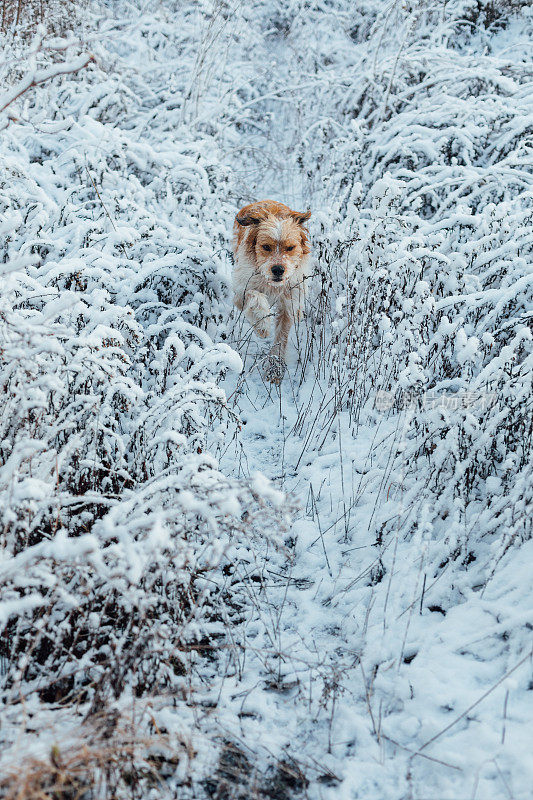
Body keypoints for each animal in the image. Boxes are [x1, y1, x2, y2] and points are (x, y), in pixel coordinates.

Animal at [231, 198, 310, 382]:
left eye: (290, 247)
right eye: (266, 247)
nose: (278, 269)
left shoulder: (289, 303)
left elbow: (281, 337)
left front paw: (275, 370)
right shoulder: (240, 291)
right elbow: (255, 296)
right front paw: (262, 325)